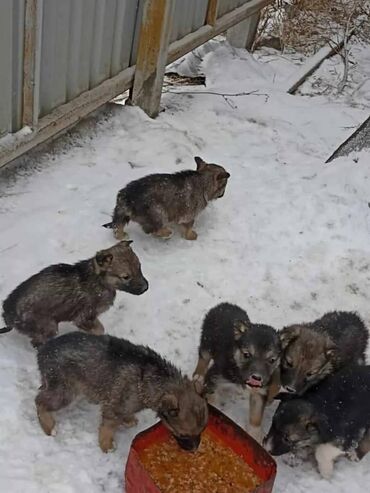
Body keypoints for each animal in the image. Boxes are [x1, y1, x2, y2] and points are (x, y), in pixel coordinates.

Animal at [0, 241, 147, 346]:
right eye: (126, 277)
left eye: (140, 267)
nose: (146, 288)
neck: (99, 279)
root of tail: (7, 315)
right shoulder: (84, 317)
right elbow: (99, 329)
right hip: (48, 326)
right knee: (37, 342)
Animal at [36, 330, 210, 454]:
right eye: (182, 435)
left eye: (202, 430)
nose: (195, 450)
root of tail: (42, 351)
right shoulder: (114, 408)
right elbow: (108, 428)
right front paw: (106, 445)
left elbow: (125, 414)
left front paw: (128, 420)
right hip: (64, 392)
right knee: (39, 401)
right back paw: (48, 426)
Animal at [194, 302, 280, 440]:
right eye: (246, 354)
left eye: (272, 360)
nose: (256, 378)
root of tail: (225, 304)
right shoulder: (215, 375)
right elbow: (212, 396)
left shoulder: (260, 392)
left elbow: (256, 414)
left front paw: (255, 434)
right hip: (207, 341)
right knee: (203, 356)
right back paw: (198, 375)